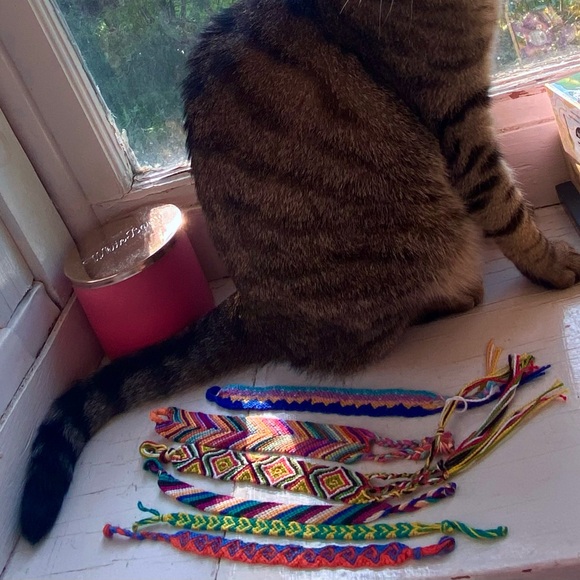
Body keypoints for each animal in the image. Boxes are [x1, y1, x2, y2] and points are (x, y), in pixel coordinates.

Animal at [20, 0, 580, 544]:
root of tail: (251, 306)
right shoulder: (457, 116)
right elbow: (506, 207)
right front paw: (556, 264)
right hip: (416, 244)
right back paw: (453, 297)